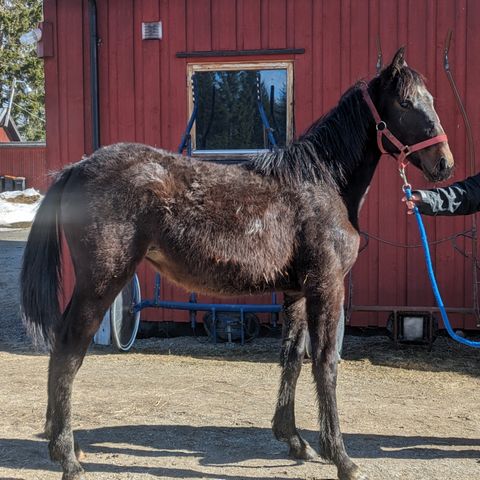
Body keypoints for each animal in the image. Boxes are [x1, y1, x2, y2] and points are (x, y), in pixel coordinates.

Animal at [19, 49, 454, 480]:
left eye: (432, 99)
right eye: (405, 102)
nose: (444, 163)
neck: (322, 183)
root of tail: (76, 168)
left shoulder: (296, 292)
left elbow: (292, 359)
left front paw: (294, 440)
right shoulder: (326, 287)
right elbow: (326, 363)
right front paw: (341, 458)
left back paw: (61, 446)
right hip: (102, 282)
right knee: (68, 351)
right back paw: (68, 457)